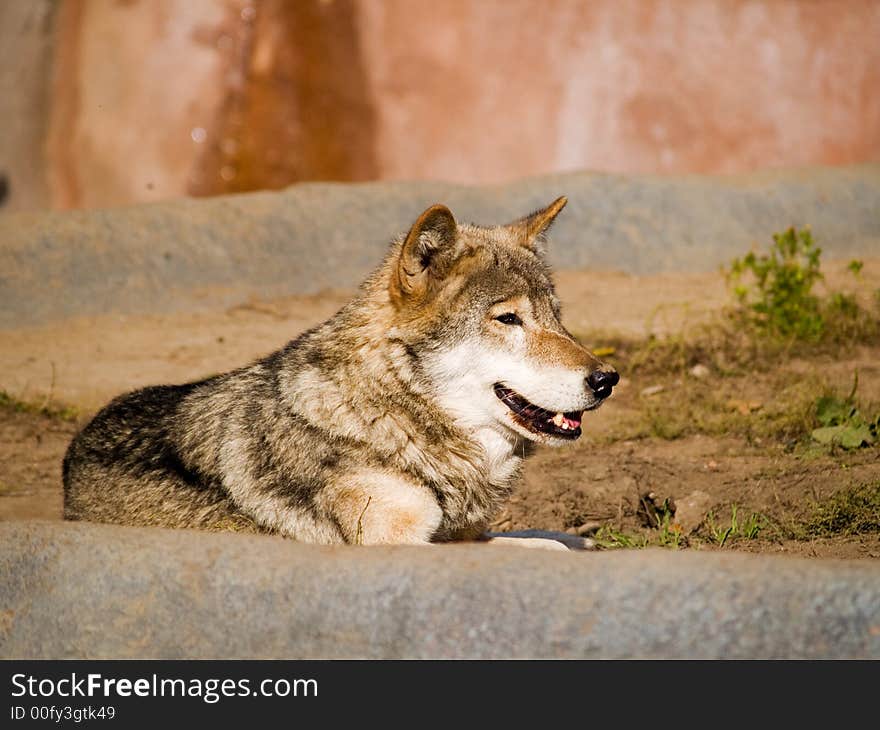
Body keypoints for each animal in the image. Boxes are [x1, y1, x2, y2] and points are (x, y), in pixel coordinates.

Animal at [63, 196, 620, 544]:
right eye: (508, 319)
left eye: (556, 317)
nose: (606, 380)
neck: (395, 419)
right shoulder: (394, 541)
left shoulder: (465, 534)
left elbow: (541, 542)